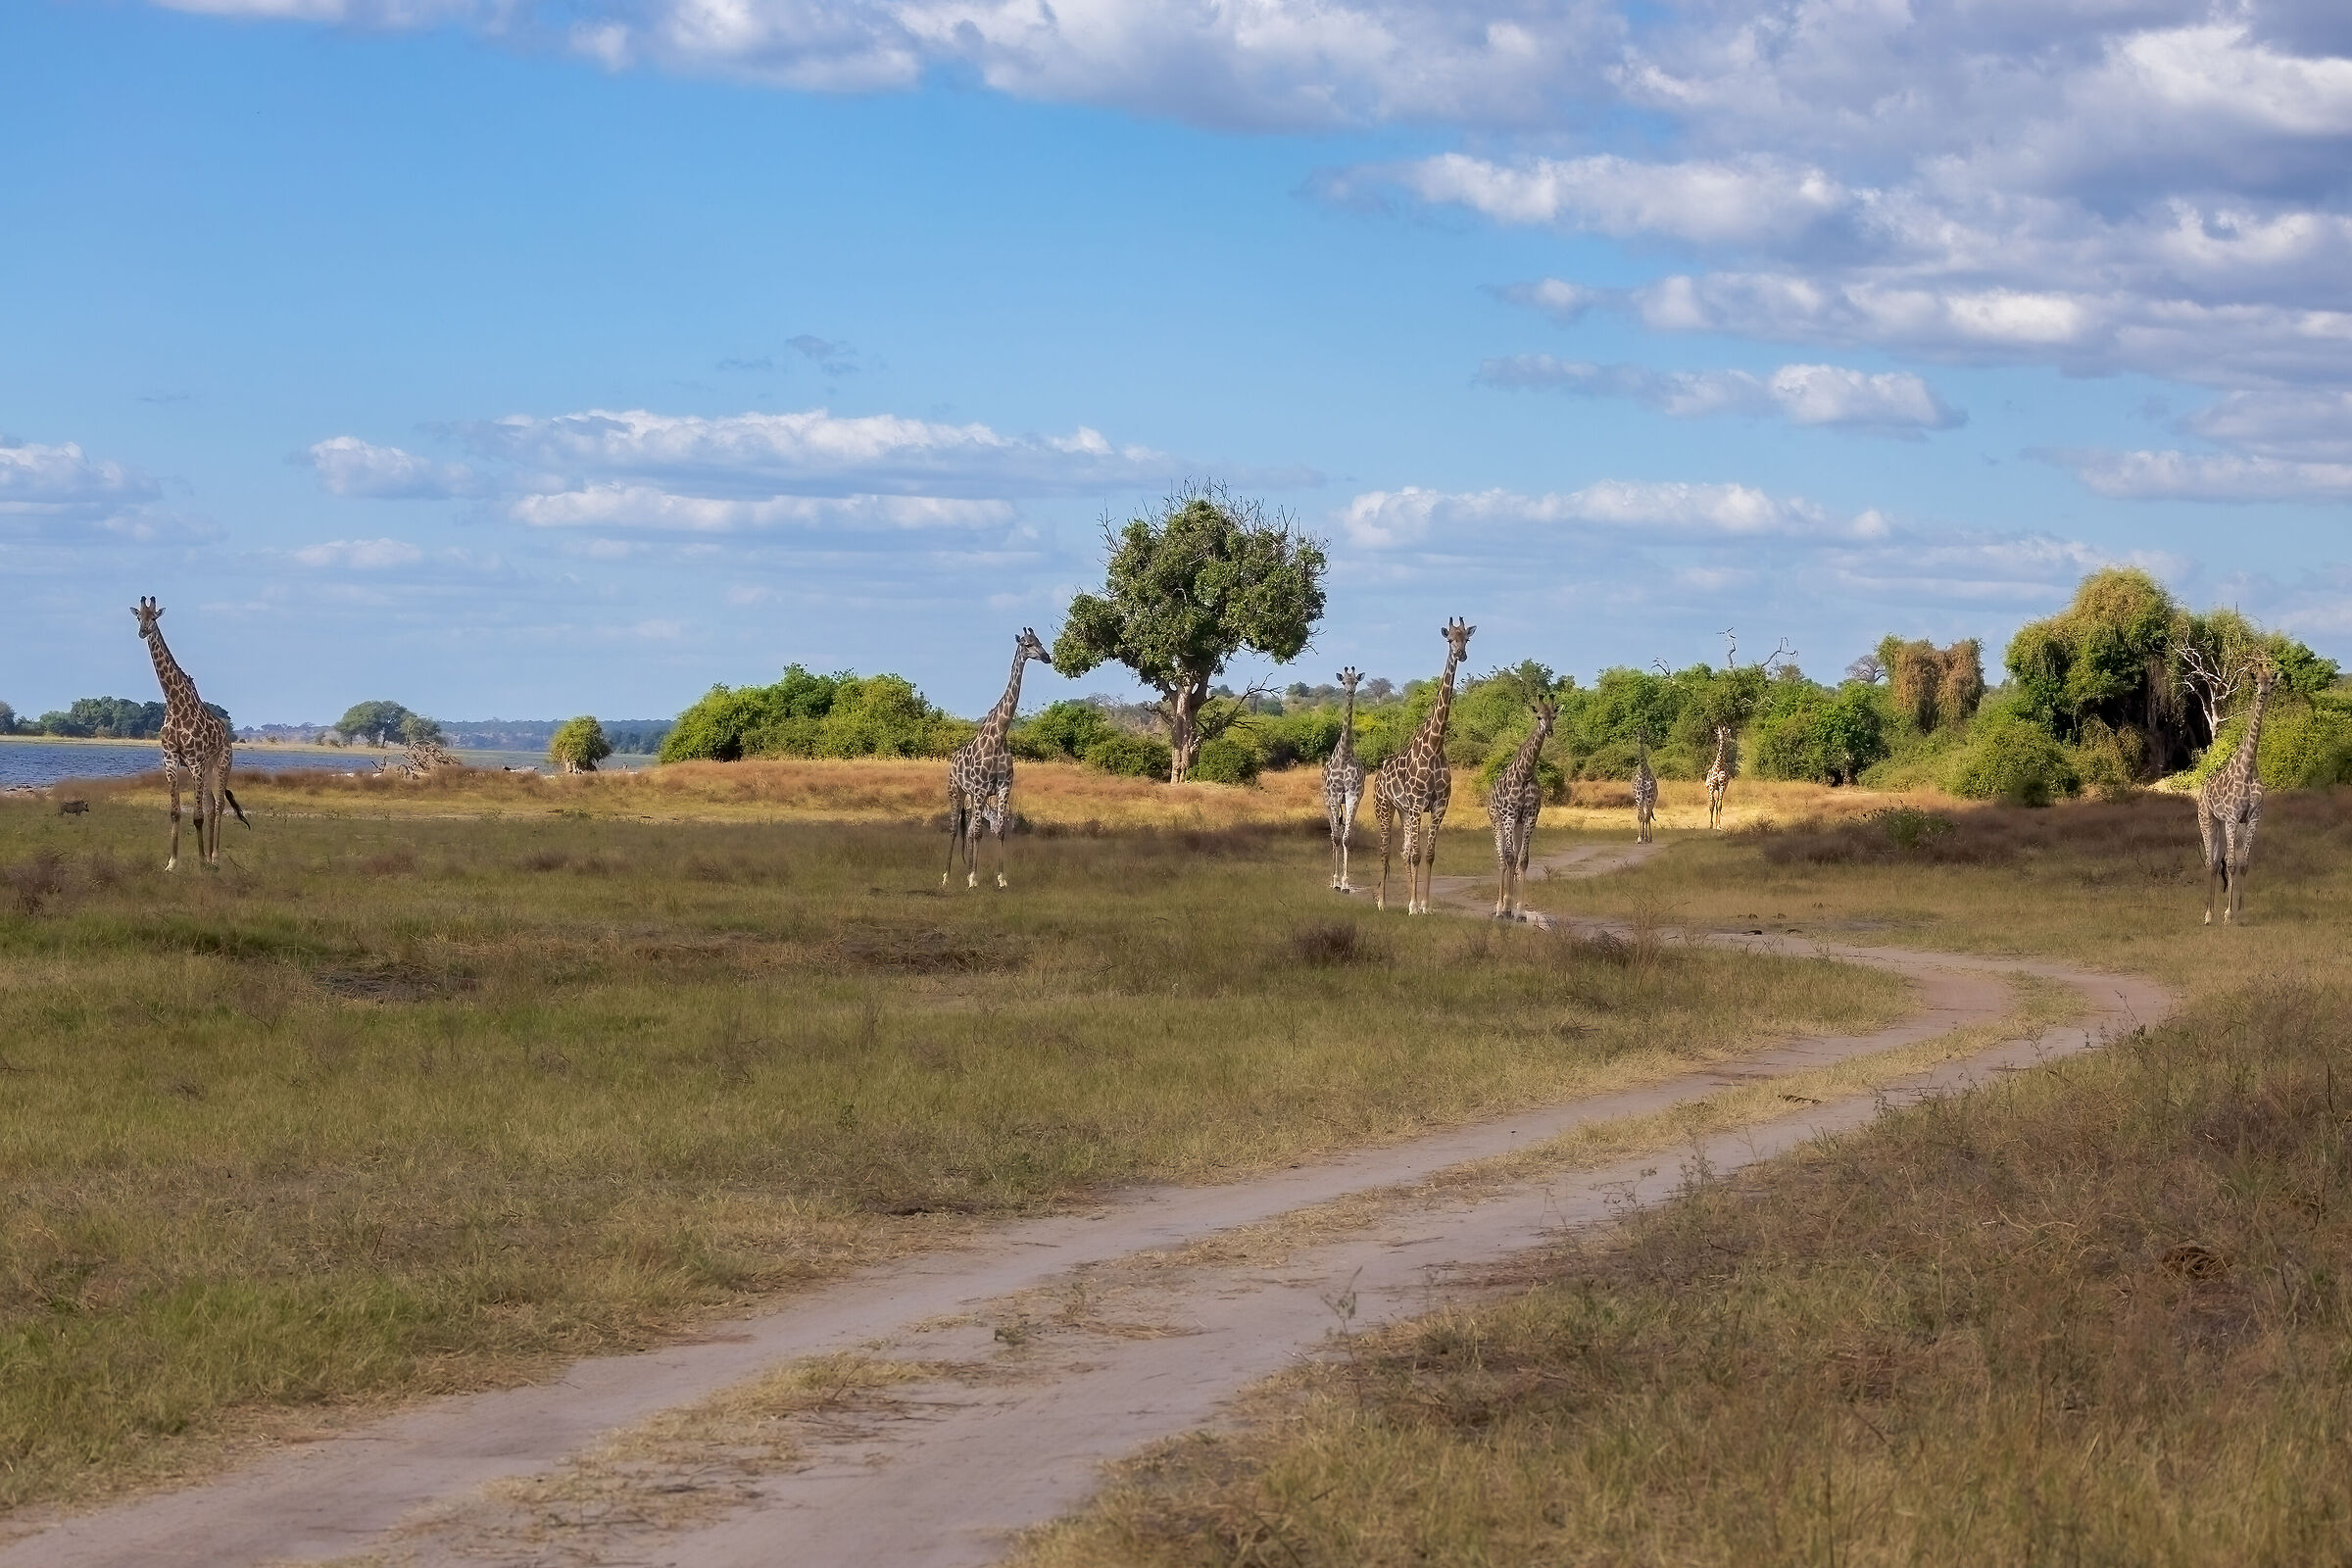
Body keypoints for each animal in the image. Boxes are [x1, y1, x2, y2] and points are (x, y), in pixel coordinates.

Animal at [131, 596, 247, 871]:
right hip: (208, 767)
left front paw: (202, 862)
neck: (174, 703)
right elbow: (176, 812)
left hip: (222, 763)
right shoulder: (170, 759)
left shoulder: (194, 762)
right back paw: (210, 857)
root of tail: (227, 736)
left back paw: (214, 858)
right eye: (138, 616)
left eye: (154, 617)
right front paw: (172, 863)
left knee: (218, 805)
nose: (143, 632)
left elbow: (197, 816)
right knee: (211, 804)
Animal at [944, 627, 1052, 891]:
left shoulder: (1004, 787)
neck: (999, 735)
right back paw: (947, 877)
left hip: (971, 795)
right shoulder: (982, 788)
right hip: (956, 790)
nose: (1047, 658)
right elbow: (978, 833)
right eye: (1027, 644)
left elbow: (1000, 830)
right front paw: (973, 878)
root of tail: (952, 761)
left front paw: (1001, 878)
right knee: (954, 830)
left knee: (968, 829)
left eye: (1040, 641)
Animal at [1373, 618, 1474, 915]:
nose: (1460, 654)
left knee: (1404, 851)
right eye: (1449, 639)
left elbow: (1427, 855)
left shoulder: (1439, 805)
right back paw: (1382, 901)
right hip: (1385, 807)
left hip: (1404, 812)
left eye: (1466, 638)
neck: (1435, 745)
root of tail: (1378, 774)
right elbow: (1417, 856)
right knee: (1386, 850)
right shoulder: (1419, 804)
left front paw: (1424, 905)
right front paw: (1413, 906)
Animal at [1487, 696, 1558, 920]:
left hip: (1517, 825)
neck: (1525, 773)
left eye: (1554, 716)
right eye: (1538, 716)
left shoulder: (1529, 816)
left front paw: (1520, 911)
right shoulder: (1509, 815)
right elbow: (1509, 857)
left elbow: (1523, 859)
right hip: (1497, 820)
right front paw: (1507, 908)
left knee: (1513, 857)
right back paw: (1499, 908)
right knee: (1502, 859)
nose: (1549, 731)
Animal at [2196, 658, 2278, 926]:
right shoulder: (2232, 817)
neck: (2249, 766)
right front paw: (2228, 914)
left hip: (2222, 824)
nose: (2263, 693)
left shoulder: (2251, 818)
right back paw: (2208, 914)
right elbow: (2230, 864)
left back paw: (2214, 911)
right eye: (2256, 681)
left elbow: (2243, 863)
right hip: (2207, 819)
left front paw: (2240, 910)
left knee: (2217, 860)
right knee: (2211, 863)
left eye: (2271, 681)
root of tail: (2202, 790)